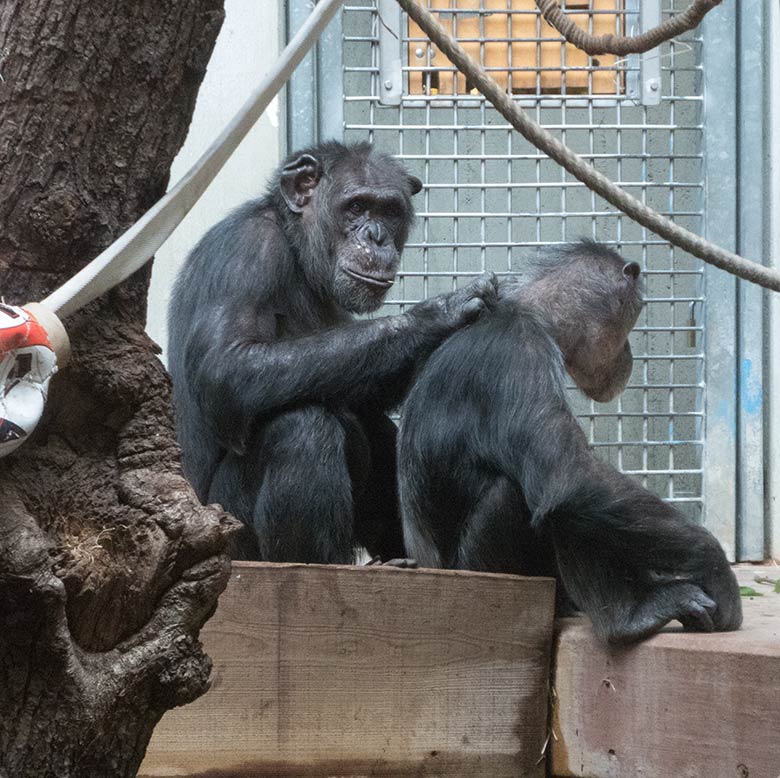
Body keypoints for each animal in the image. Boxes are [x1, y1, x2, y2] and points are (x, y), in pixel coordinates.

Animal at [171, 142, 500, 560]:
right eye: (357, 207)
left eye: (389, 211)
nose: (376, 236)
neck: (298, 251)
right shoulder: (246, 253)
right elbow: (226, 366)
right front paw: (438, 315)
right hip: (232, 537)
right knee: (301, 428)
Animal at [400, 242, 740, 644]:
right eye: (637, 312)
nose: (629, 354)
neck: (531, 314)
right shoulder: (521, 353)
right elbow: (569, 477)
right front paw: (716, 570)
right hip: (484, 582)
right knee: (538, 495)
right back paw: (632, 616)